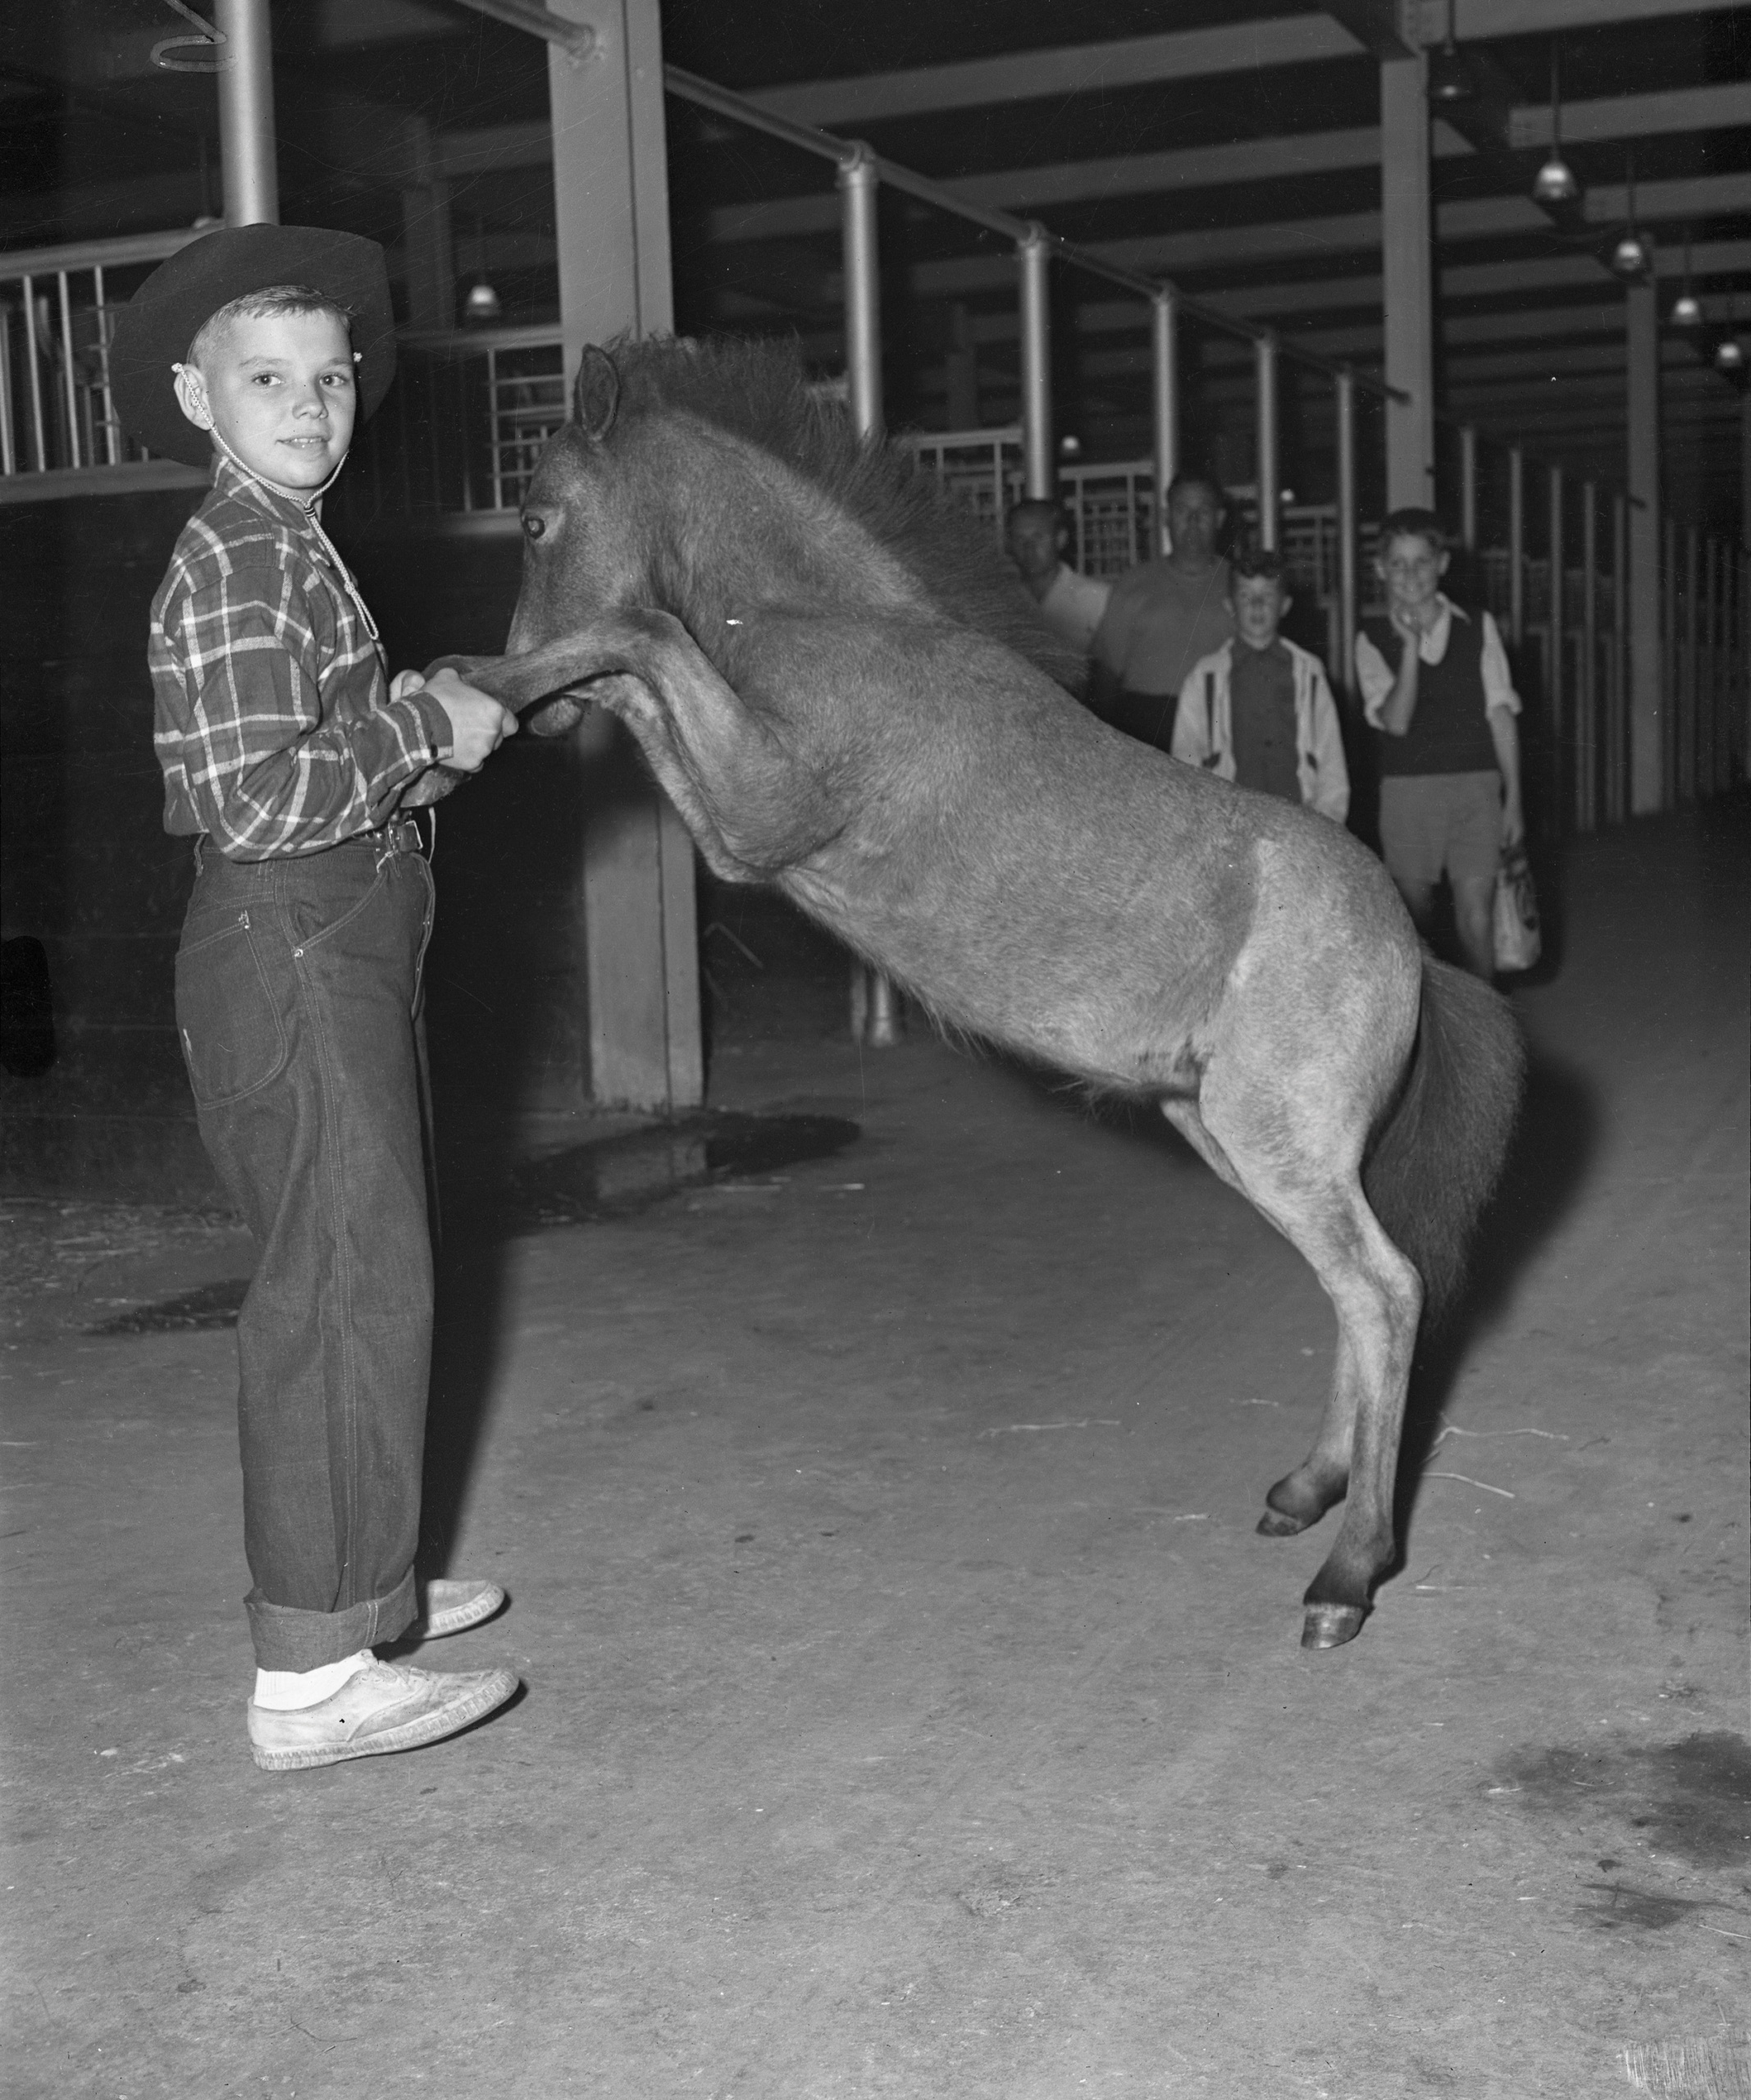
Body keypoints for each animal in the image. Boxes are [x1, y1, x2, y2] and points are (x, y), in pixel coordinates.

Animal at [430, 336, 1520, 1646]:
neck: (845, 630)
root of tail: (1415, 955)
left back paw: (1346, 1574)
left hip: (1279, 1145)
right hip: (1233, 1140)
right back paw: (1306, 1491)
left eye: (535, 518)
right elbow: (643, 667)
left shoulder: (763, 808)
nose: (535, 730)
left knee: (1386, 1289)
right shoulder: (737, 829)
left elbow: (641, 633)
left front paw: (467, 679)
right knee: (1349, 1296)